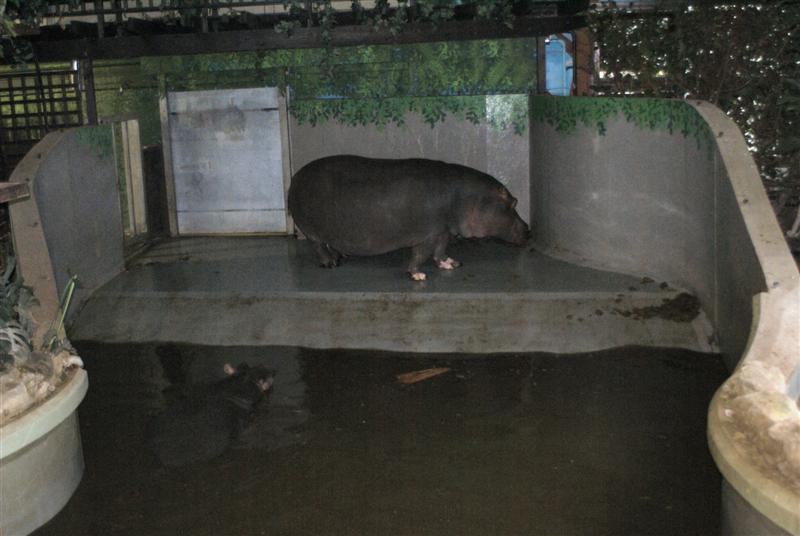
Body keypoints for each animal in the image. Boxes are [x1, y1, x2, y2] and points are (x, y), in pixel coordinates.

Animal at [287, 155, 529, 280]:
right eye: (514, 203)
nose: (529, 229)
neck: (468, 198)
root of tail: (295, 176)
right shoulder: (429, 234)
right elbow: (421, 254)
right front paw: (418, 275)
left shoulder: (443, 230)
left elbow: (440, 251)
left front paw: (452, 264)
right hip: (310, 230)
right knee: (318, 245)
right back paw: (330, 264)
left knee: (330, 243)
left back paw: (341, 256)